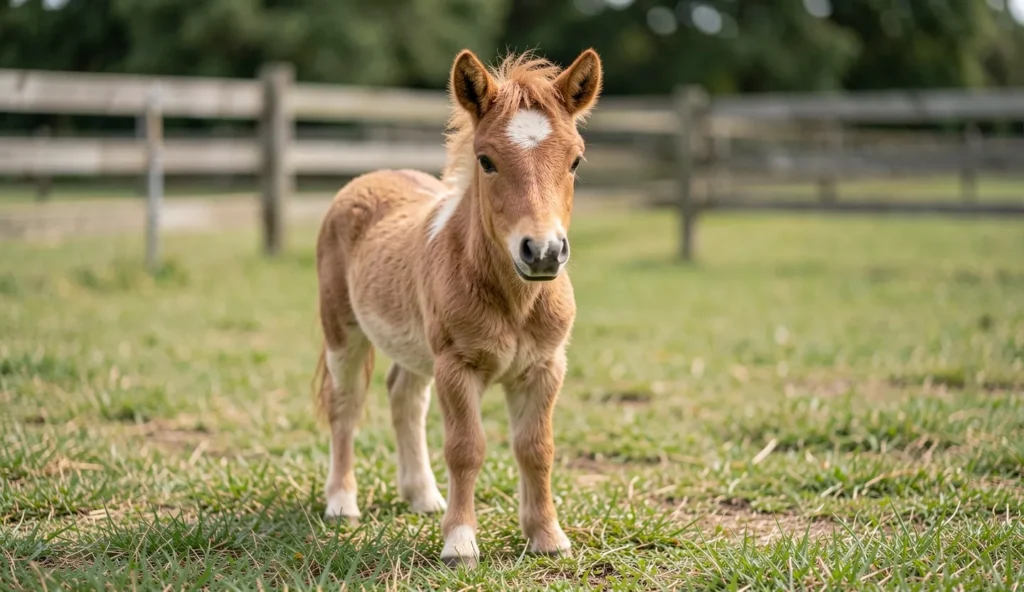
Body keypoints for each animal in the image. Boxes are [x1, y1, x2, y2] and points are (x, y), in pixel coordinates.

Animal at [313, 47, 602, 568]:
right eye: (485, 160)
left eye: (575, 161)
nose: (543, 252)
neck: (514, 301)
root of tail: (369, 177)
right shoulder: (456, 366)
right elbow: (466, 448)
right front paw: (460, 544)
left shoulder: (546, 367)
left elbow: (537, 448)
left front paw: (548, 537)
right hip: (343, 332)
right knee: (345, 404)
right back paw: (342, 503)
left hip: (415, 347)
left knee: (404, 396)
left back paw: (424, 497)